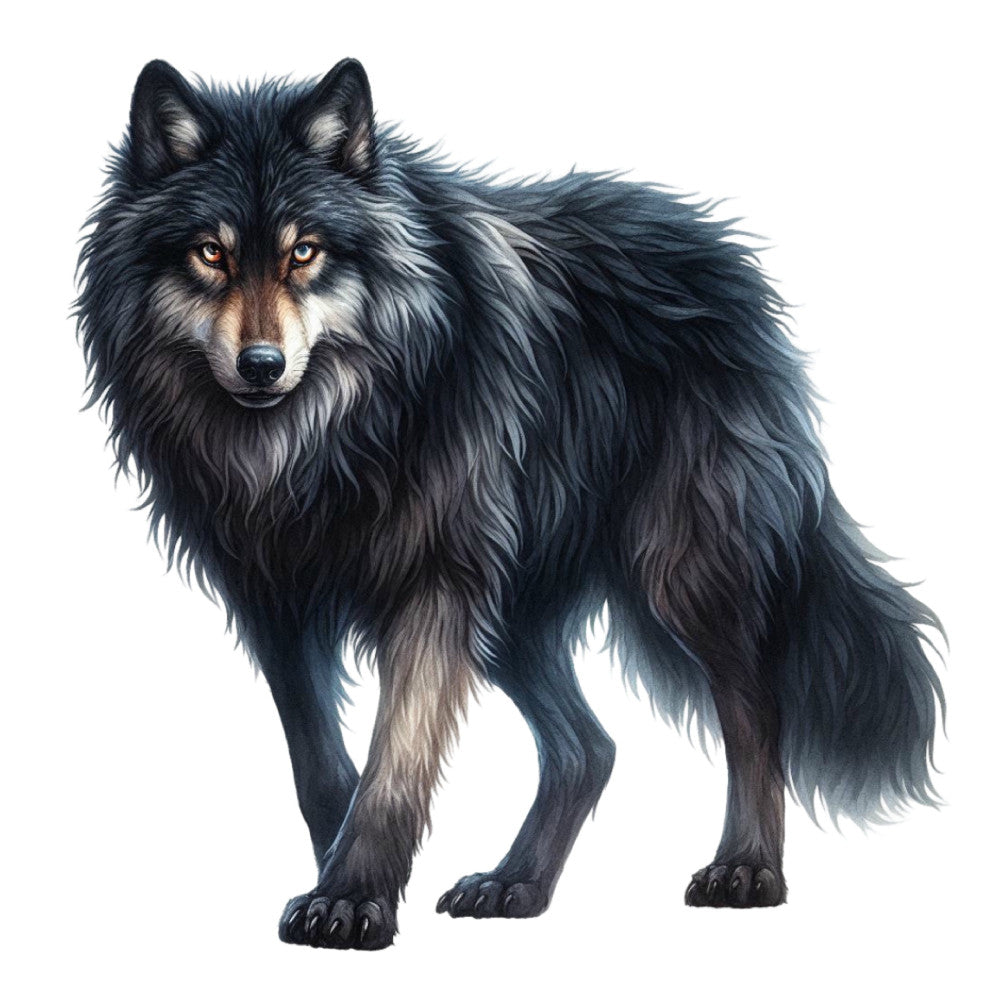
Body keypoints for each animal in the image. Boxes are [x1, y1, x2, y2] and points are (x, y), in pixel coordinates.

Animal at [76, 58, 944, 950]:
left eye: (305, 252)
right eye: (210, 253)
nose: (260, 364)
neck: (318, 444)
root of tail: (727, 260)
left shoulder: (435, 583)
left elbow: (394, 762)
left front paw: (352, 898)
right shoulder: (273, 602)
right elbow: (321, 770)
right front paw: (340, 875)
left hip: (680, 572)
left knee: (754, 709)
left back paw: (747, 870)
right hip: (514, 613)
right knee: (589, 748)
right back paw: (515, 884)